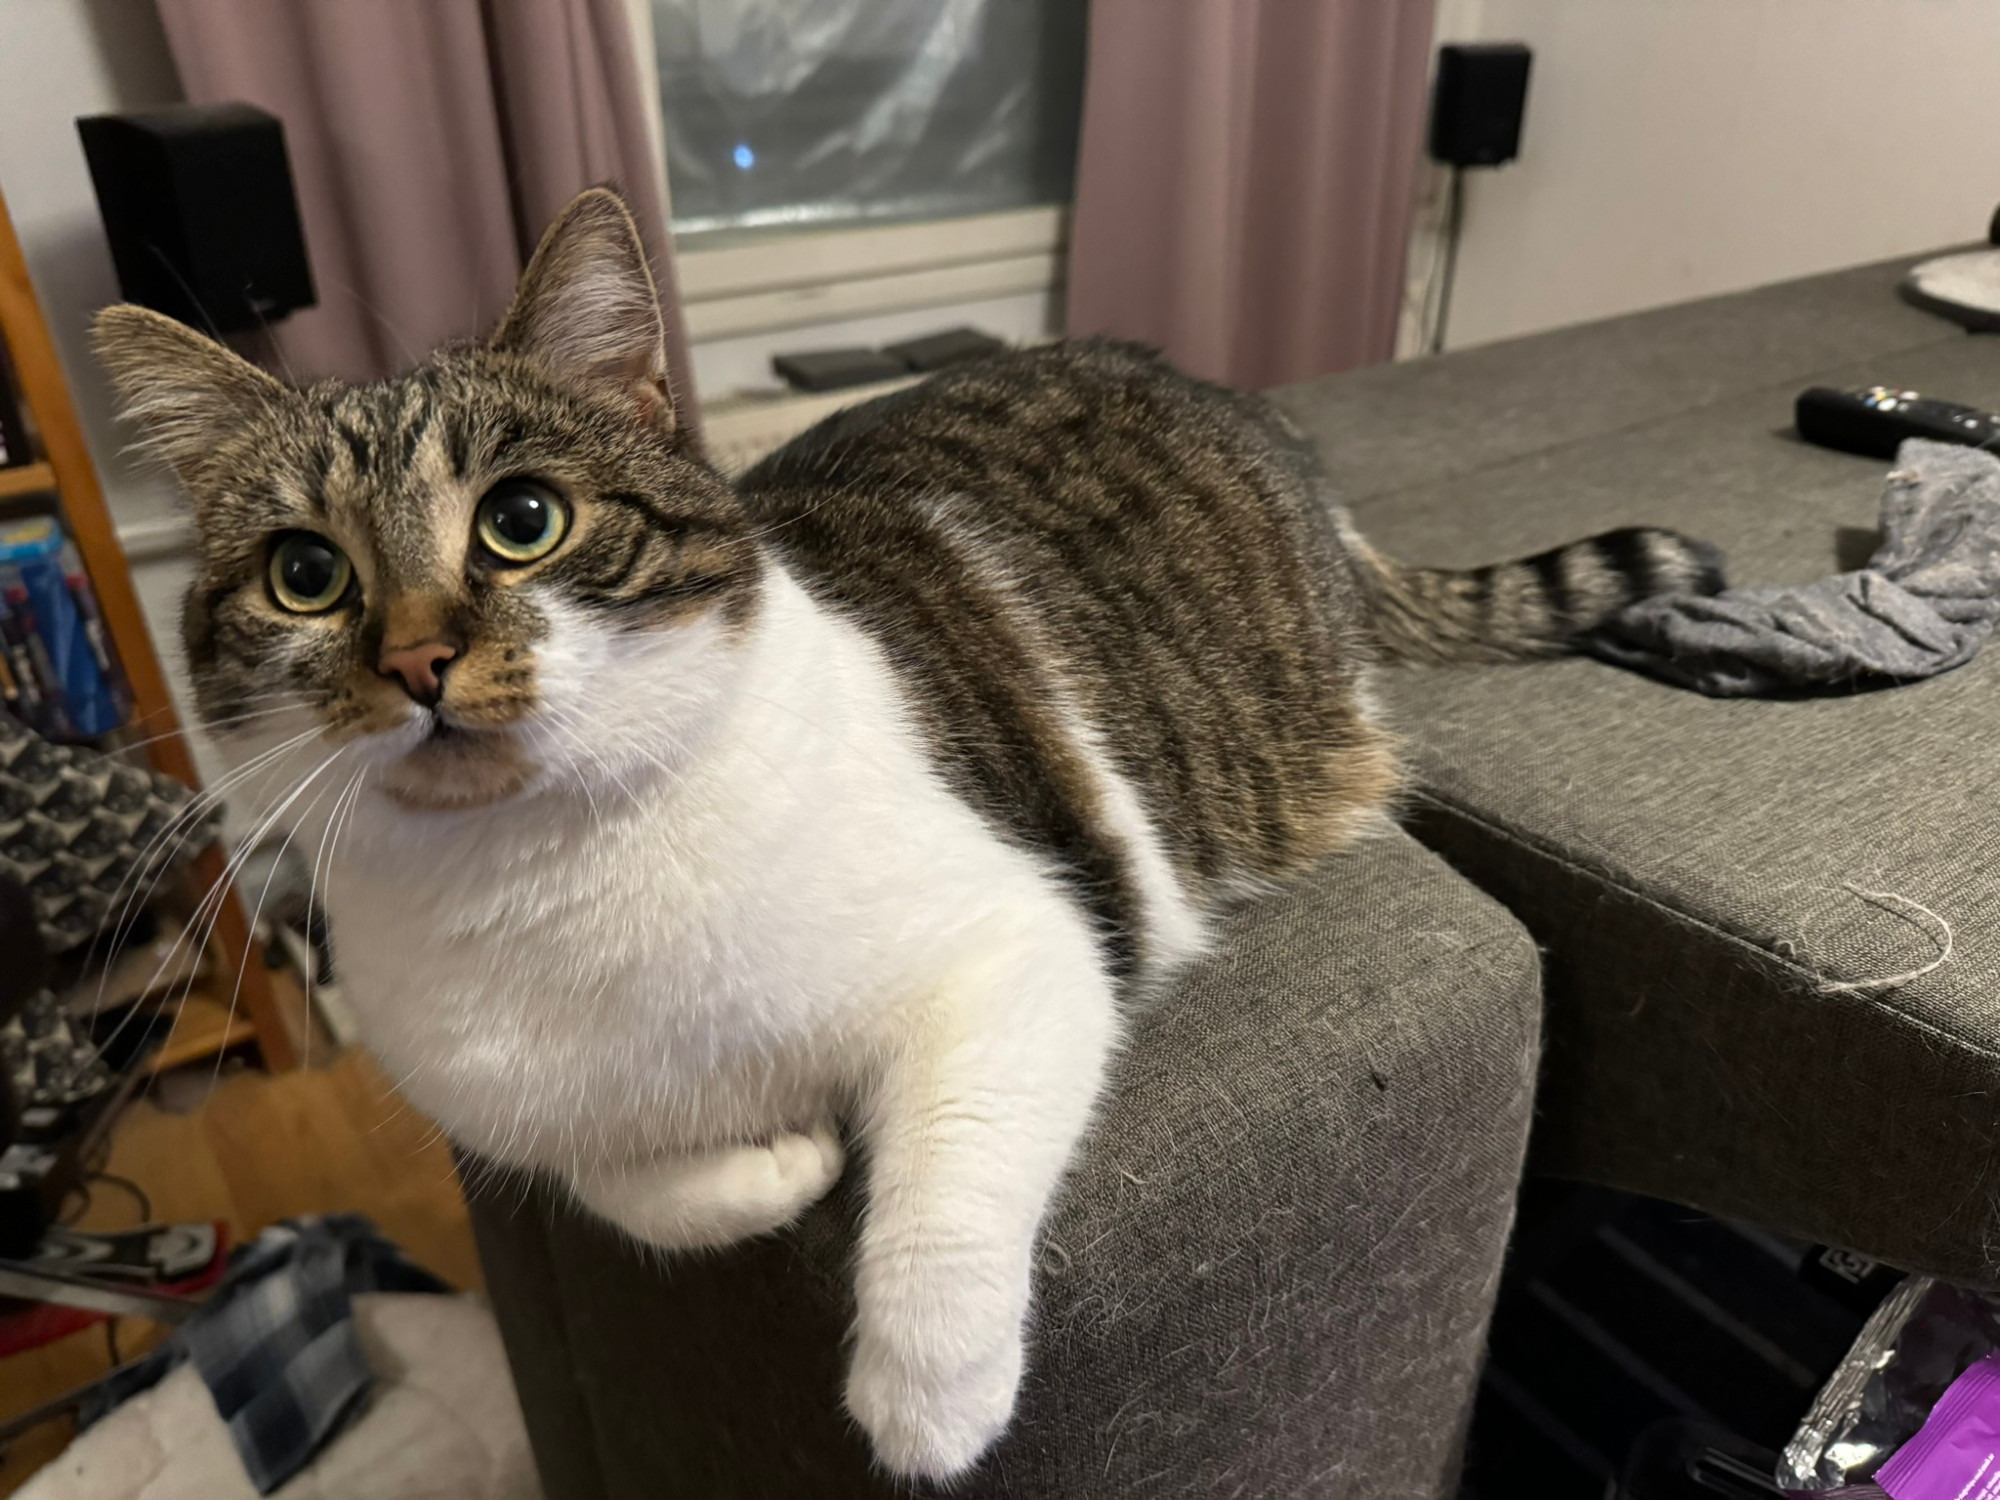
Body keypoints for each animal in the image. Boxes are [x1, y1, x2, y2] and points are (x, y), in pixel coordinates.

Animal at [94, 188, 1720, 1480]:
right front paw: (782, 1163)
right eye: (306, 575)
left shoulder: (1025, 944)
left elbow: (949, 1172)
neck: (549, 875)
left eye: (523, 520)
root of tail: (1268, 431)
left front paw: (928, 1402)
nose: (418, 661)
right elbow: (626, 1180)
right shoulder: (508, 1113)